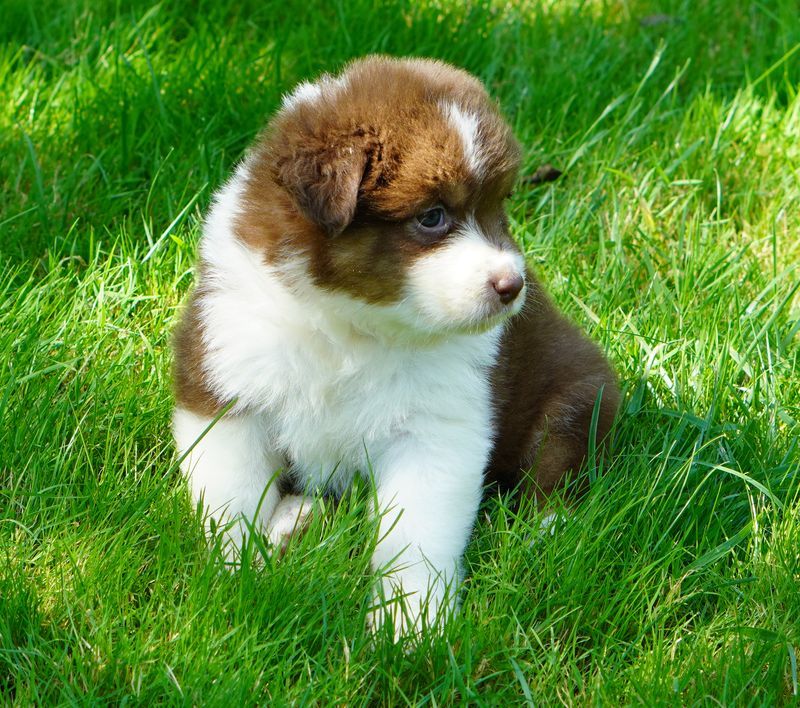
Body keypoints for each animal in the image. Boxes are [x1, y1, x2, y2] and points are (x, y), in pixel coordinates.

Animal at [170, 56, 620, 636]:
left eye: (499, 209)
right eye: (431, 216)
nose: (511, 285)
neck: (352, 326)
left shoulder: (436, 429)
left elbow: (416, 535)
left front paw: (411, 626)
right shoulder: (227, 382)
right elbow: (231, 499)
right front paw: (234, 583)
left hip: (577, 393)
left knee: (556, 465)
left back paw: (545, 535)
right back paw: (297, 519)